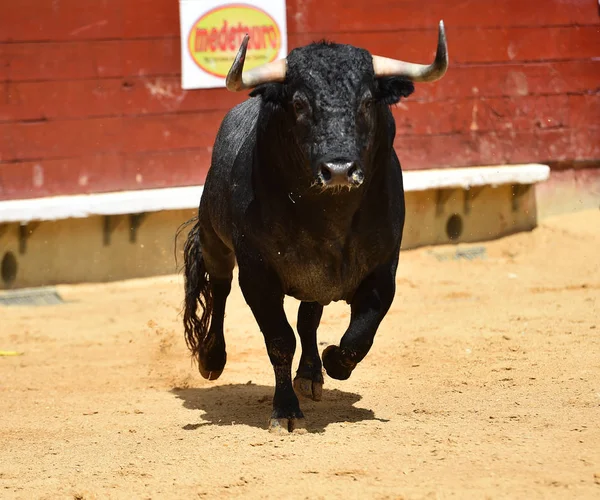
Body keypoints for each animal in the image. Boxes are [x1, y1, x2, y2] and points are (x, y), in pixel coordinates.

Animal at [180, 22, 448, 434]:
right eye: (300, 104)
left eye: (367, 101)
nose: (338, 169)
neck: (329, 217)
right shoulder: (257, 275)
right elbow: (279, 340)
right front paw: (285, 410)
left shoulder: (383, 270)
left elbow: (358, 337)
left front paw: (332, 362)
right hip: (215, 240)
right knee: (221, 289)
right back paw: (213, 359)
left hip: (314, 279)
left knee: (308, 317)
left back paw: (310, 374)